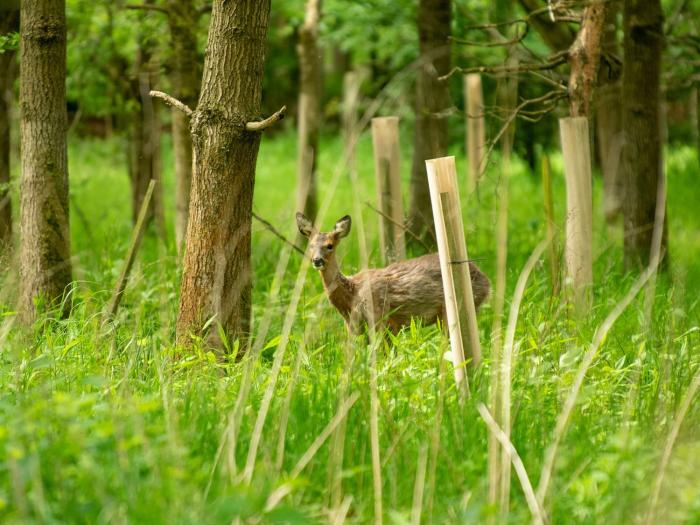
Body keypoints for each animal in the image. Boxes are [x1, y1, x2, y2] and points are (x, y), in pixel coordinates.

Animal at [296, 212, 492, 336]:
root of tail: (487, 282)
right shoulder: (354, 328)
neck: (352, 295)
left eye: (330, 245)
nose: (317, 260)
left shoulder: (380, 320)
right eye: (310, 246)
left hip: (454, 310)